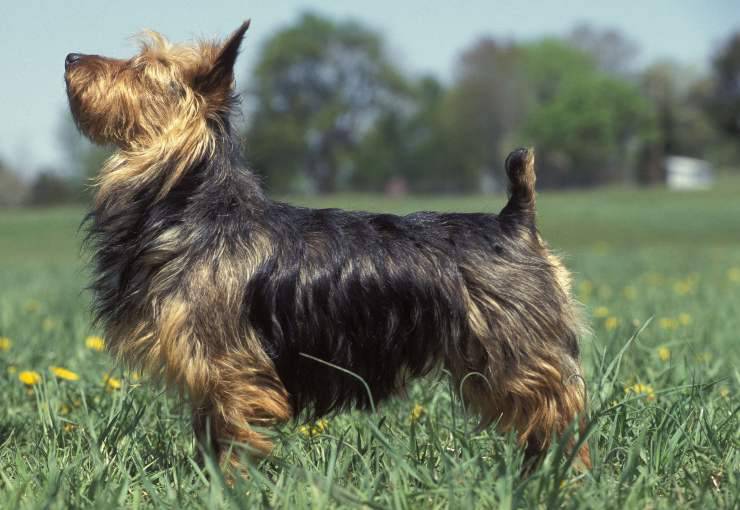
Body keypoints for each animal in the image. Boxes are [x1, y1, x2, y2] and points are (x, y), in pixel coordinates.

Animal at [66, 21, 592, 470]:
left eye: (139, 69)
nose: (71, 56)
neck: (192, 204)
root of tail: (514, 219)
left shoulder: (231, 371)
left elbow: (233, 440)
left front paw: (230, 486)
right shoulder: (211, 377)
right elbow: (210, 435)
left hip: (516, 356)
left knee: (562, 413)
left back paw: (561, 475)